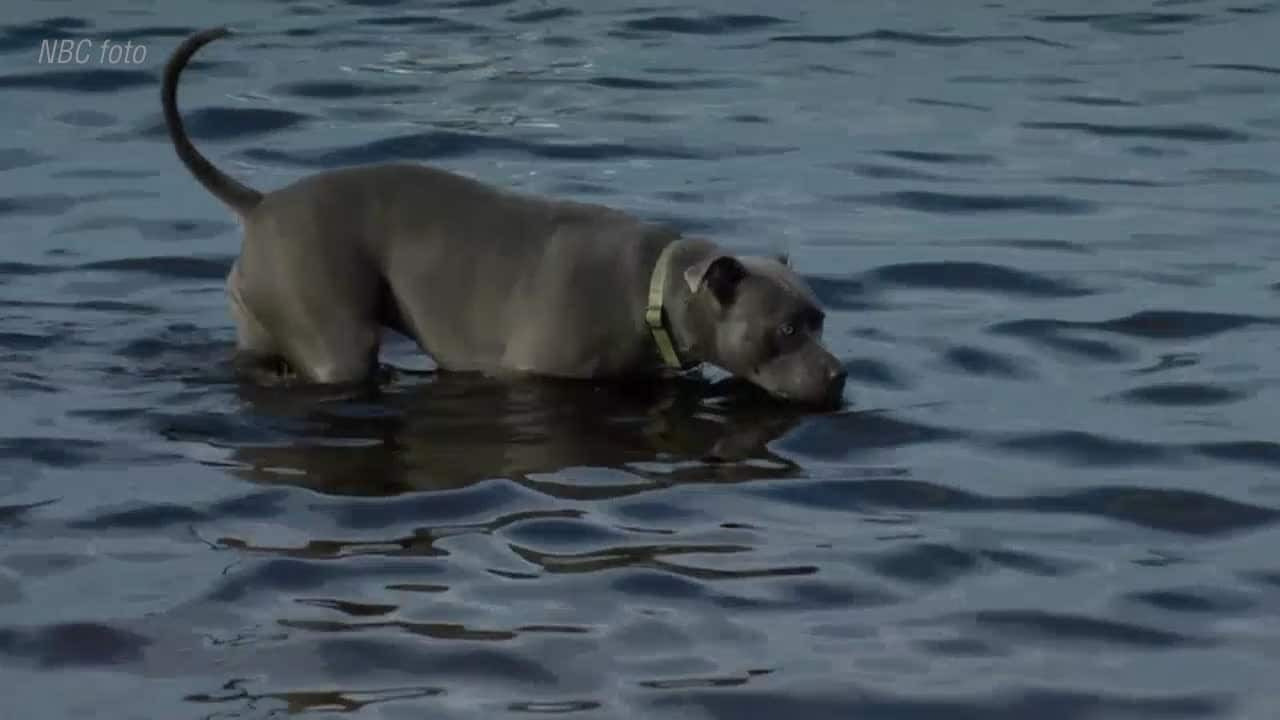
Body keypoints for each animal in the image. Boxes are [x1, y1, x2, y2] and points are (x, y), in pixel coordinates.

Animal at [162, 28, 849, 407]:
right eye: (787, 329)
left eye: (820, 319)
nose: (841, 375)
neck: (655, 290)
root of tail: (262, 202)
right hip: (330, 325)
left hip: (262, 314)